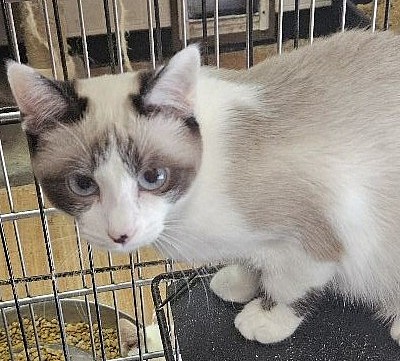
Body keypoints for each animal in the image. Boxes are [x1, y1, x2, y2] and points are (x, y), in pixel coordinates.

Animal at [6, 29, 400, 344]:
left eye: (153, 176)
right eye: (82, 184)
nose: (121, 234)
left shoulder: (319, 232)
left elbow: (288, 287)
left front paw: (265, 319)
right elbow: (251, 260)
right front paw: (238, 282)